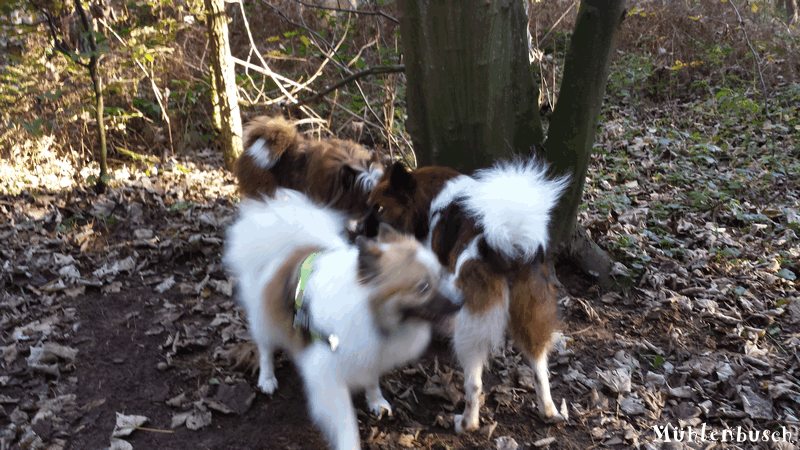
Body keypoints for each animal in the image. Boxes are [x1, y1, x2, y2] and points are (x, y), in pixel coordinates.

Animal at [225, 188, 462, 448]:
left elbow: (372, 380)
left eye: (440, 275)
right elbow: (346, 421)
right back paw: (267, 378)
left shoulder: (370, 353)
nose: (461, 301)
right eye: (423, 287)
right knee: (265, 349)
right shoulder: (328, 374)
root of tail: (290, 248)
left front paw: (376, 401)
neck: (372, 313)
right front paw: (350, 442)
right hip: (265, 321)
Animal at [366, 158, 572, 432]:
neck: (431, 198)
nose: (357, 232)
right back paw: (548, 410)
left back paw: (466, 423)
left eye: (379, 208)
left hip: (469, 329)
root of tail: (506, 248)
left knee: (474, 385)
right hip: (531, 316)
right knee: (540, 368)